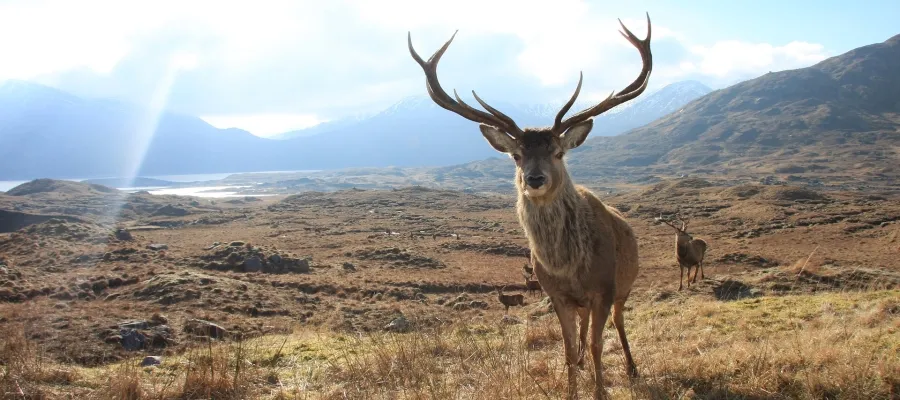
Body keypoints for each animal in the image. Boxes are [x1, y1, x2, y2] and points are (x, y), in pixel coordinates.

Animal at [409, 13, 652, 399]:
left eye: (558, 152)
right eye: (516, 155)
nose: (534, 179)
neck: (569, 267)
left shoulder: (604, 287)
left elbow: (599, 344)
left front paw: (600, 390)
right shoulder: (556, 294)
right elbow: (566, 348)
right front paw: (571, 388)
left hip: (625, 285)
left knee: (618, 321)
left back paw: (631, 368)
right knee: (584, 328)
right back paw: (585, 362)